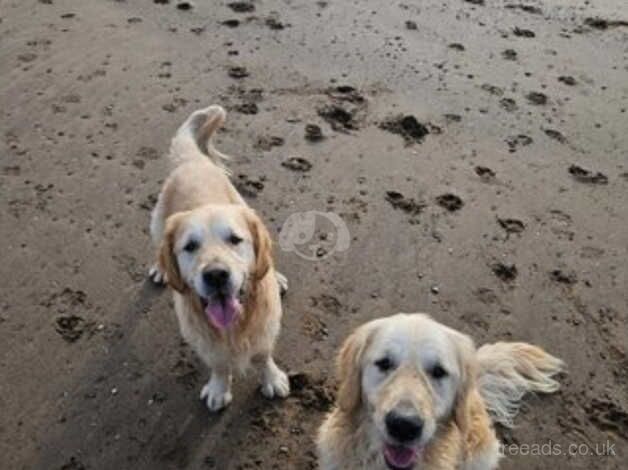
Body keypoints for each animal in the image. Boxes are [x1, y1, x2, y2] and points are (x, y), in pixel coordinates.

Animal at [151, 103, 290, 412]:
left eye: (235, 239)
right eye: (190, 246)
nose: (216, 275)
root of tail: (191, 161)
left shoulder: (265, 327)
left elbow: (263, 354)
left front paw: (272, 378)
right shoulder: (204, 339)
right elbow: (218, 363)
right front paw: (218, 388)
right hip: (157, 222)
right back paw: (159, 268)